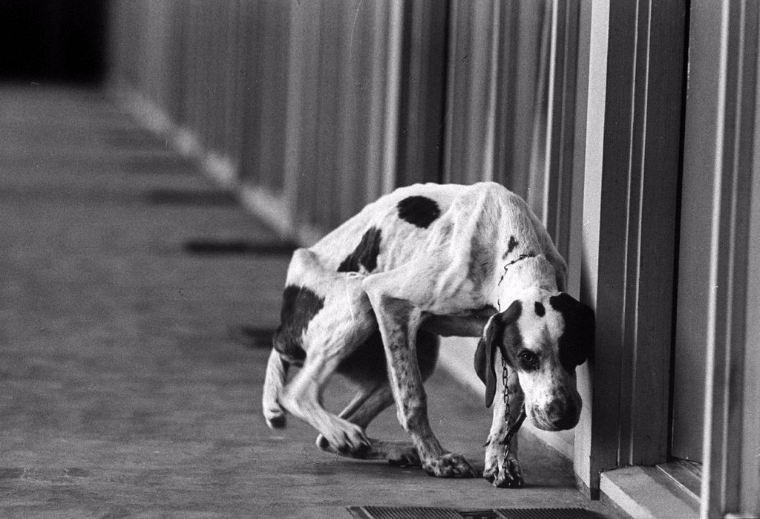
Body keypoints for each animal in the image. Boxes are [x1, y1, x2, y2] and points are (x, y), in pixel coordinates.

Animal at [262, 182, 592, 488]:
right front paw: (436, 459)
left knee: (330, 439)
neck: (517, 251)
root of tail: (282, 331)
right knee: (296, 394)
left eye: (575, 353)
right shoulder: (386, 298)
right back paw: (350, 433)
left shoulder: (499, 342)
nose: (563, 415)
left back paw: (385, 448)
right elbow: (413, 400)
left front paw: (502, 462)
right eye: (527, 357)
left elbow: (506, 412)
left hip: (420, 352)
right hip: (358, 297)